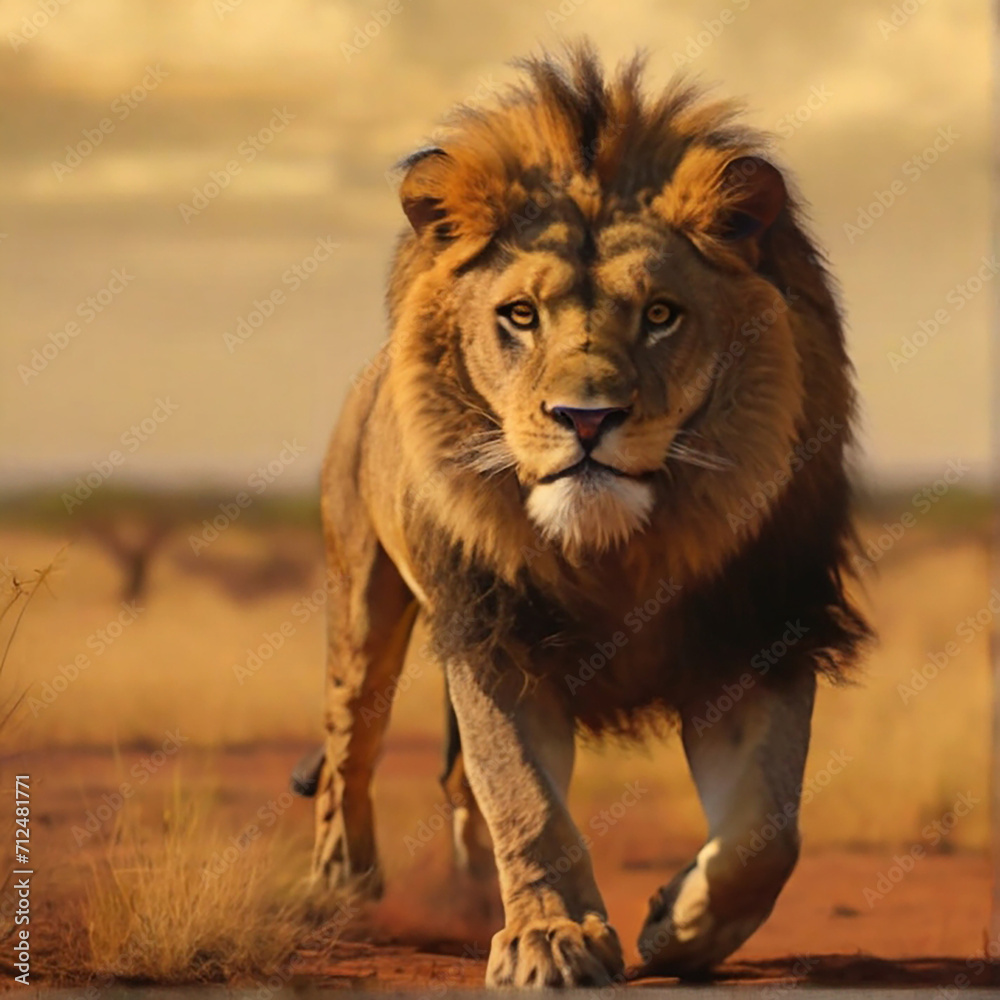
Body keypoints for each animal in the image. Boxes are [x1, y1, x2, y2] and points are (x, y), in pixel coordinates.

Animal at [292, 45, 871, 987]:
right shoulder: (496, 637)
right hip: (362, 590)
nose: (586, 418)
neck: (619, 550)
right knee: (352, 744)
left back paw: (468, 898)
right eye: (520, 316)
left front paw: (682, 925)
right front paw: (551, 938)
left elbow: (766, 832)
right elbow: (527, 801)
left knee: (454, 788)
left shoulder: (756, 631)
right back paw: (342, 892)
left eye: (662, 315)